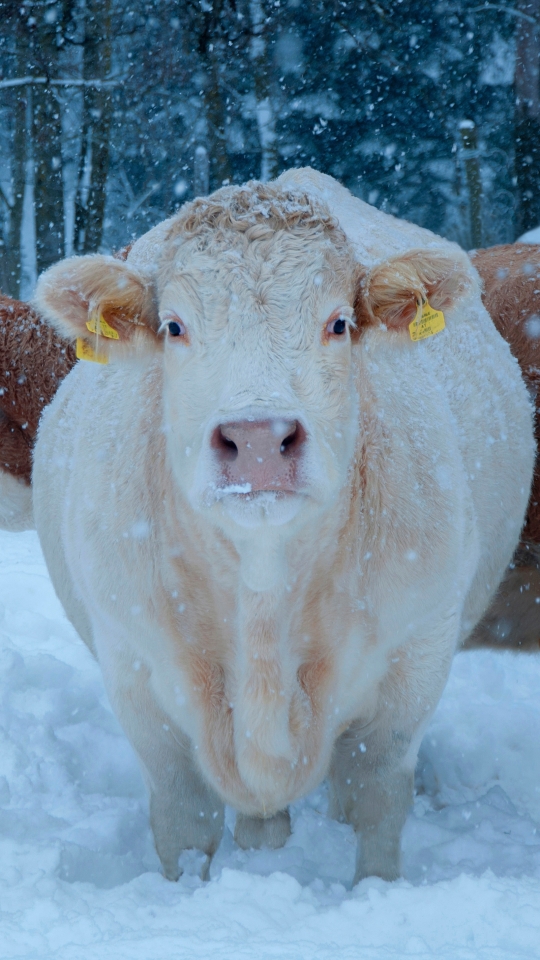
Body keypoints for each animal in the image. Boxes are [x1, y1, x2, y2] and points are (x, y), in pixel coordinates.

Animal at [31, 172, 532, 884]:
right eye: (174, 325)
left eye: (339, 322)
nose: (259, 438)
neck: (263, 595)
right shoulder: (136, 670)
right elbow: (184, 819)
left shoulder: (416, 653)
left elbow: (376, 799)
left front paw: (371, 891)